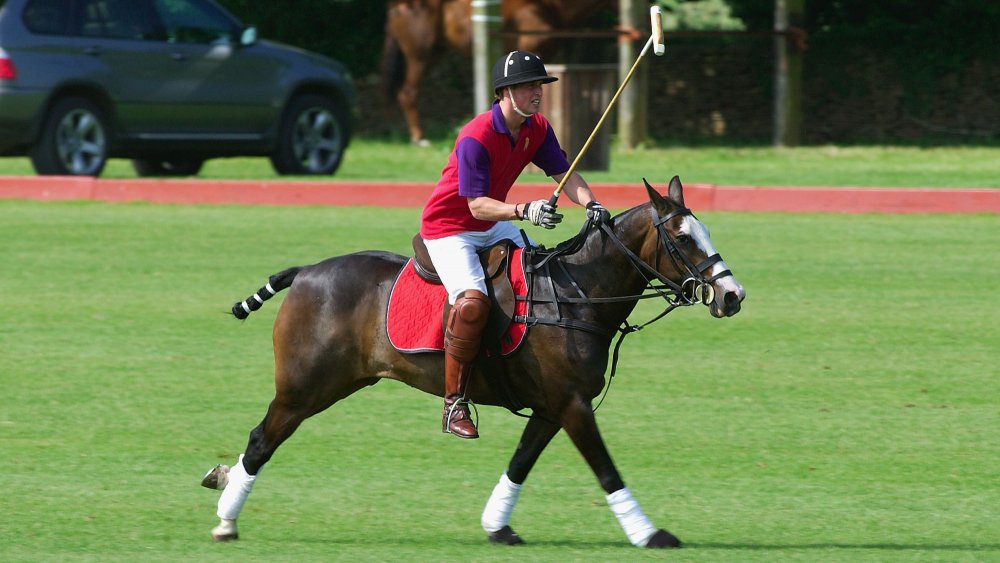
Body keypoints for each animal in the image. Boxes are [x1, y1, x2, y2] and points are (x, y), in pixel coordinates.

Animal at [201, 178, 744, 548]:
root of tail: (306, 272)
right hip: (305, 387)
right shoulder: (572, 405)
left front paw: (497, 526)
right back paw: (226, 516)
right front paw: (650, 535)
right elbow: (607, 471)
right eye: (683, 238)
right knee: (261, 439)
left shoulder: (552, 407)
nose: (732, 295)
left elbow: (520, 462)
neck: (578, 293)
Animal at [384, 0, 612, 144]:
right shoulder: (533, 44)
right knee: (408, 92)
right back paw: (419, 138)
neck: (553, 5)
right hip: (420, 53)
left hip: (435, 52)